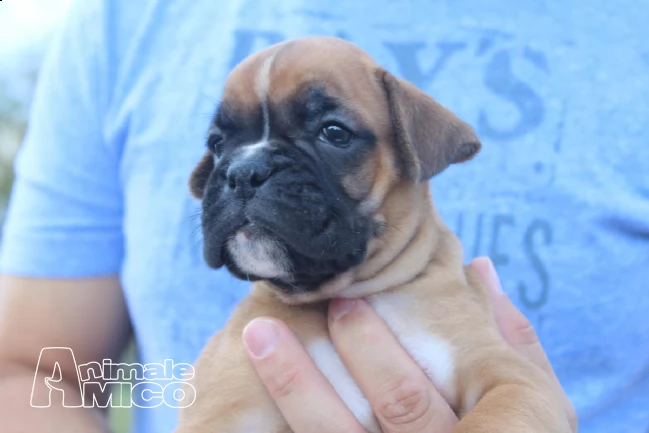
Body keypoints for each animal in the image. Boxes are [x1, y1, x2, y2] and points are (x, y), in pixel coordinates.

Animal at [175, 38, 568, 432]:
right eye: (216, 144)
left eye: (334, 132)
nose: (243, 172)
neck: (340, 293)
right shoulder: (224, 412)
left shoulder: (512, 381)